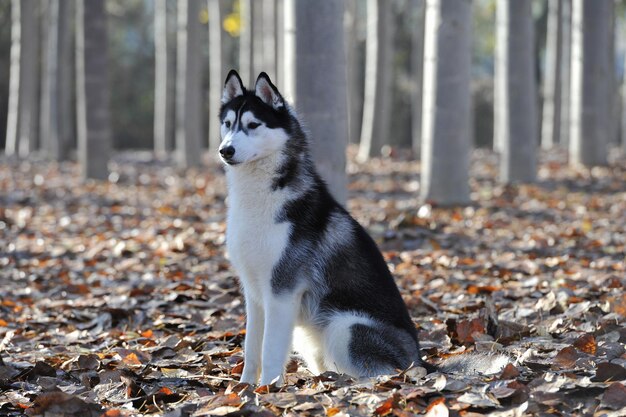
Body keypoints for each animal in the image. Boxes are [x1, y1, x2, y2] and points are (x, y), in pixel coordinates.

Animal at [217, 70, 504, 384]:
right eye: (228, 124)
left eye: (253, 125)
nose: (225, 150)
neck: (259, 198)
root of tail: (420, 359)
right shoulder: (255, 294)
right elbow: (252, 349)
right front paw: (245, 388)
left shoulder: (281, 294)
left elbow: (270, 350)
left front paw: (267, 388)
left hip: (344, 327)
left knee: (381, 372)